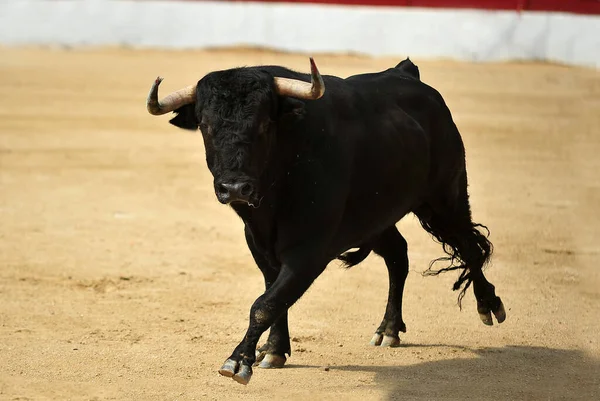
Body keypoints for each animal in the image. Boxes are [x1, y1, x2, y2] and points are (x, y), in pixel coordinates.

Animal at [146, 57, 506, 384]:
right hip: (375, 219)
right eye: (206, 126)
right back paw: (389, 329)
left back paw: (489, 305)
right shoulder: (260, 245)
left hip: (445, 197)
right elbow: (274, 296)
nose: (234, 188)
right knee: (398, 255)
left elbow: (266, 303)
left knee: (469, 246)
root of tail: (406, 72)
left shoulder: (309, 251)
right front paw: (273, 351)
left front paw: (238, 361)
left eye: (263, 125)